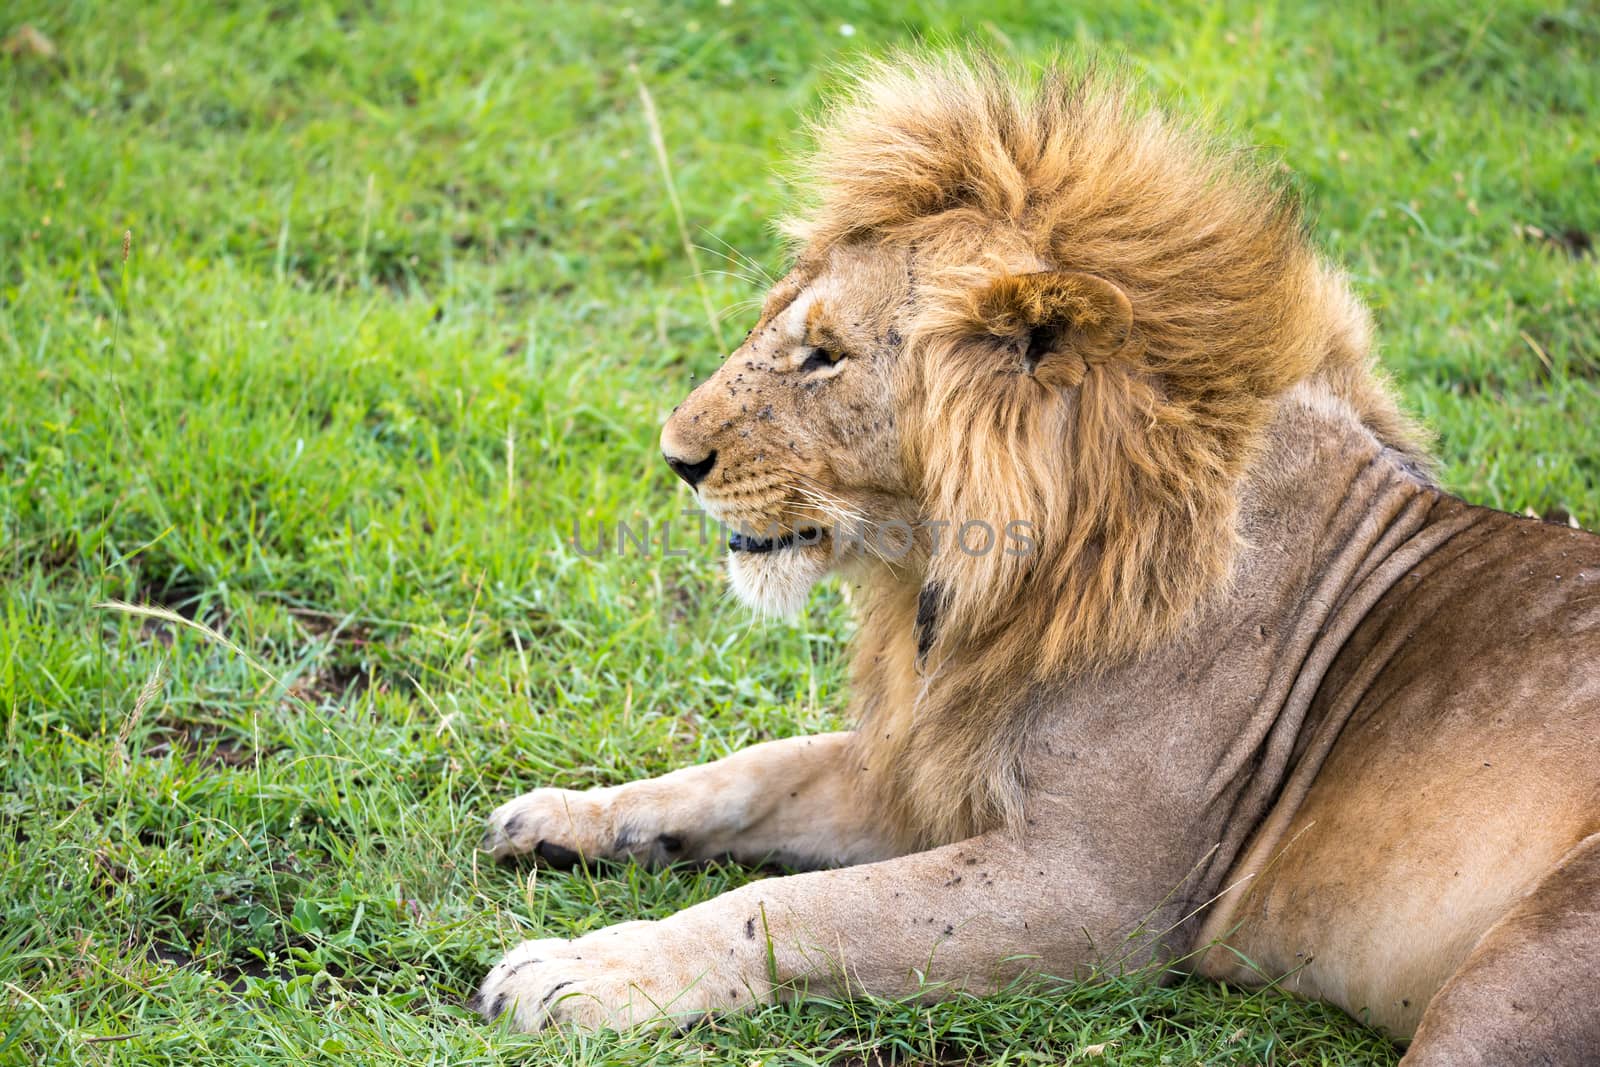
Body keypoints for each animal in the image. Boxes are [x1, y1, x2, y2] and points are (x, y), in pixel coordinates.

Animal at [473, 51, 1600, 1062]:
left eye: (824, 354)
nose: (675, 457)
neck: (961, 585)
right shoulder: (933, 763)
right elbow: (755, 770)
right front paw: (568, 815)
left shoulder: (1098, 892)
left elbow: (790, 905)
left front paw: (585, 969)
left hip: (1518, 971)